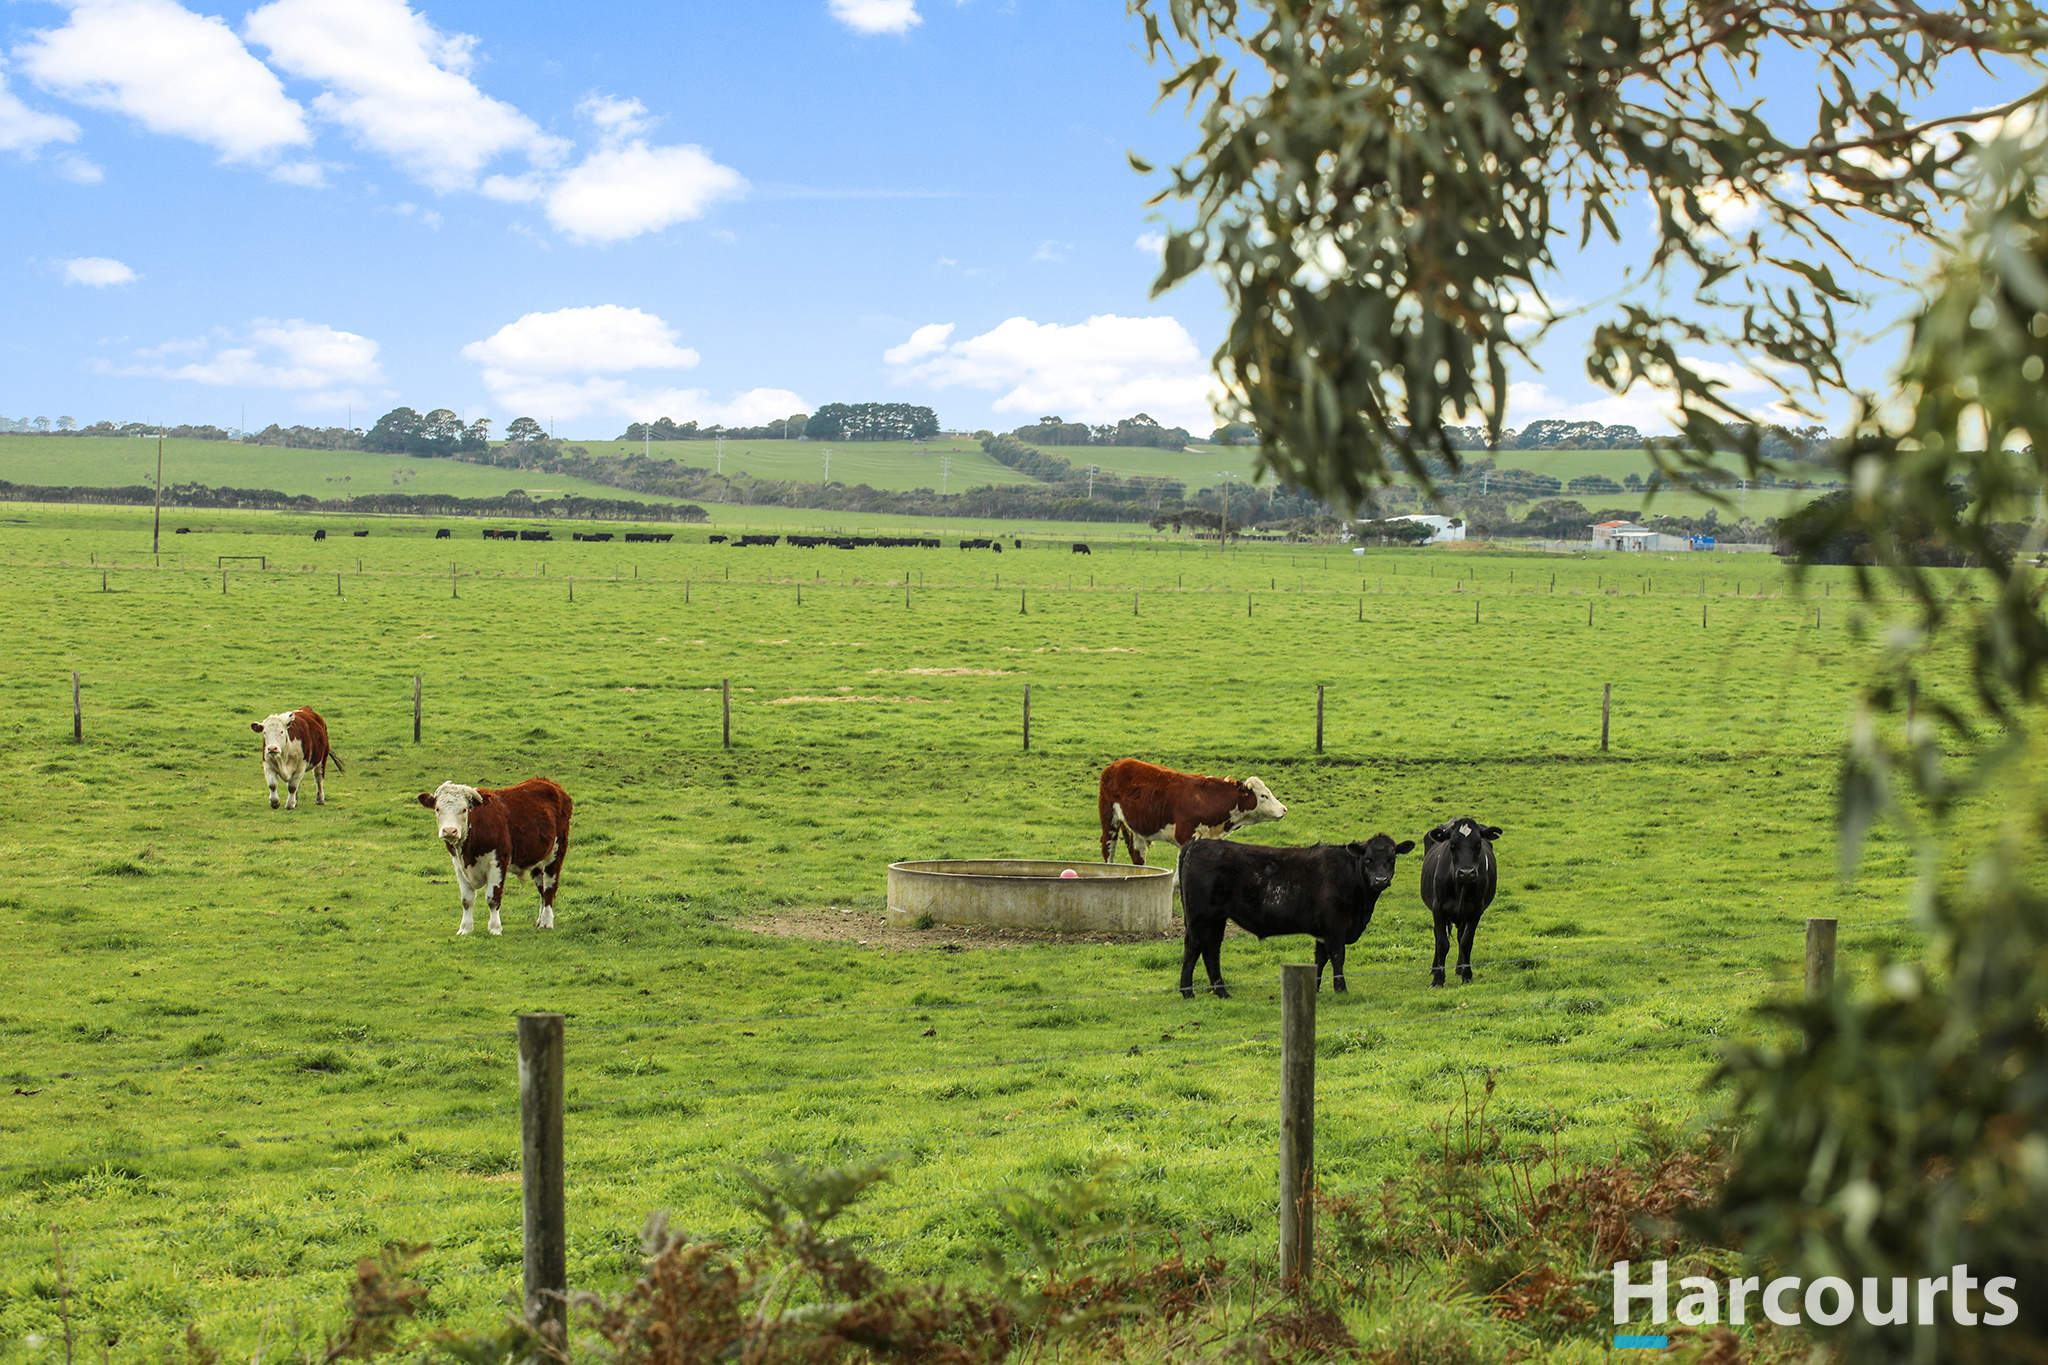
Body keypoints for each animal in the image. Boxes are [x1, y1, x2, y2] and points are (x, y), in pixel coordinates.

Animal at [416, 778, 572, 936]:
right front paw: (465, 928)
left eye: (464, 809)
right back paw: (540, 920)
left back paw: (547, 921)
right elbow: (466, 900)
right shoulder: (458, 866)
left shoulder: (497, 863)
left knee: (549, 888)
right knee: (542, 890)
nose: (449, 830)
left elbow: (492, 898)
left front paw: (495, 928)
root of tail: (547, 782)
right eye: (437, 809)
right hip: (537, 858)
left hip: (556, 853)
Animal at [1097, 758, 1287, 893]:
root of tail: (1118, 764)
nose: (1284, 809)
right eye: (1263, 796)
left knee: (1137, 852)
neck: (1207, 800)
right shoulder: (1186, 836)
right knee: (1108, 847)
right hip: (1109, 816)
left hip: (1137, 827)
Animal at [1178, 834, 1416, 998]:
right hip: (1200, 916)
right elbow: (1337, 956)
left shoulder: (1323, 931)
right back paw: (1187, 991)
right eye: (1367, 859)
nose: (1381, 880)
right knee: (1193, 946)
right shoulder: (1334, 927)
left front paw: (1315, 989)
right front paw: (1341, 989)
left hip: (1217, 918)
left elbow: (1320, 959)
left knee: (1211, 949)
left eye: (1392, 858)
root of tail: (1199, 843)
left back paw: (1221, 992)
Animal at [1419, 817, 1503, 986]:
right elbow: (1442, 943)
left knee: (1460, 936)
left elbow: (1466, 942)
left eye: (1478, 844)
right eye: (1452, 844)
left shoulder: (1476, 910)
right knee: (1437, 934)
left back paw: (1459, 968)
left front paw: (1467, 975)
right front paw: (1438, 979)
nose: (1467, 872)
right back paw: (1434, 969)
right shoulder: (1438, 908)